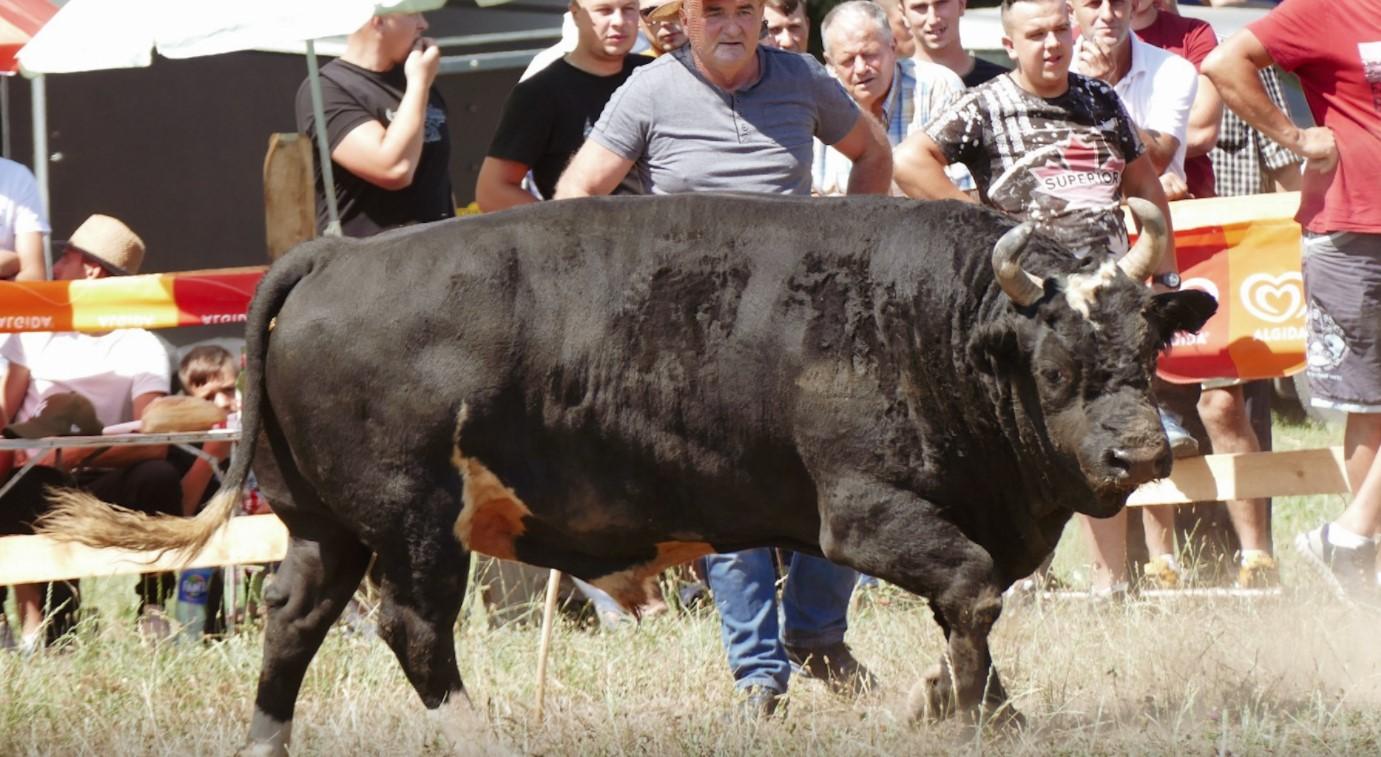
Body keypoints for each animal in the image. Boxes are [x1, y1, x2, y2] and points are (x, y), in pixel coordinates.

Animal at [40, 194, 1209, 751]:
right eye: (1054, 365)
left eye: (1148, 343)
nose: (1142, 452)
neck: (934, 320)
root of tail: (339, 252)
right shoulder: (864, 514)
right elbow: (969, 590)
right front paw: (957, 710)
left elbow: (974, 602)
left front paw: (978, 706)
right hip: (413, 522)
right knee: (413, 628)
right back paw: (480, 736)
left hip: (324, 523)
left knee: (292, 615)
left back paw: (267, 739)